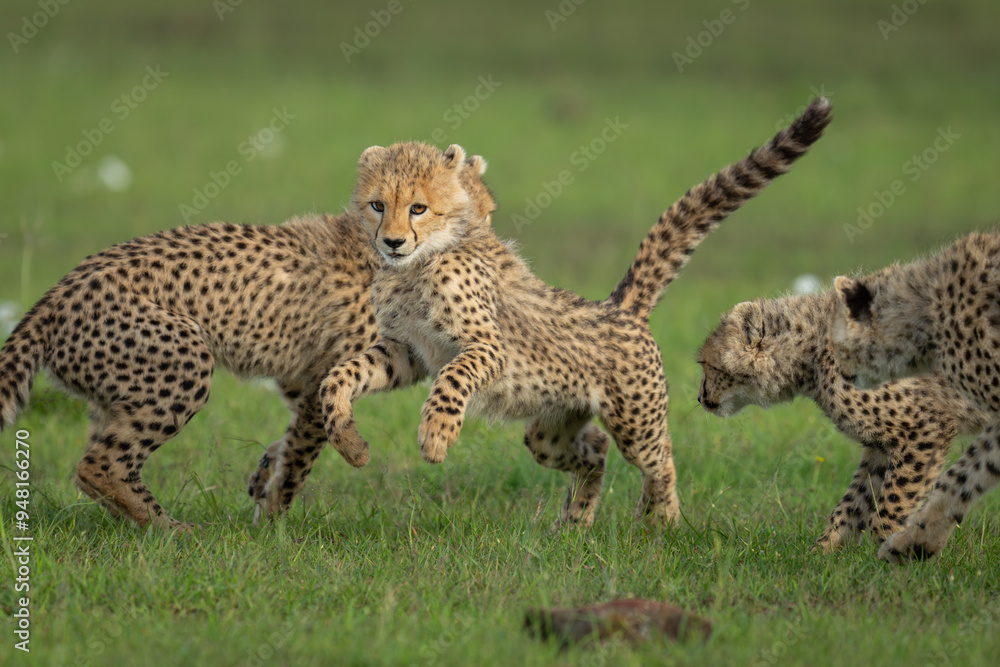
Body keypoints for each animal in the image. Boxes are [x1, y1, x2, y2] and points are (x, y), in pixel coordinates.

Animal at [0, 212, 382, 528]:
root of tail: (54, 295)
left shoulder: (301, 376)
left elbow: (292, 435)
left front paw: (264, 476)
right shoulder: (323, 375)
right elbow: (301, 454)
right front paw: (271, 518)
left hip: (115, 391)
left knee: (93, 464)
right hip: (186, 362)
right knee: (99, 466)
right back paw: (172, 531)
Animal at [301, 97, 833, 528]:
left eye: (417, 208)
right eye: (376, 205)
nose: (391, 242)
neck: (415, 265)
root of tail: (619, 307)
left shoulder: (485, 347)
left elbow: (452, 379)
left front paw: (436, 436)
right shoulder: (407, 350)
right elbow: (341, 376)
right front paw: (348, 442)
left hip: (635, 420)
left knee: (660, 457)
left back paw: (661, 519)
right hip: (549, 429)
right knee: (594, 451)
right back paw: (576, 520)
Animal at [697, 290, 987, 551]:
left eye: (706, 365)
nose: (700, 397)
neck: (813, 350)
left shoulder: (926, 428)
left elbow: (893, 501)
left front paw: (890, 558)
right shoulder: (883, 447)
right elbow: (854, 502)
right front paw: (824, 553)